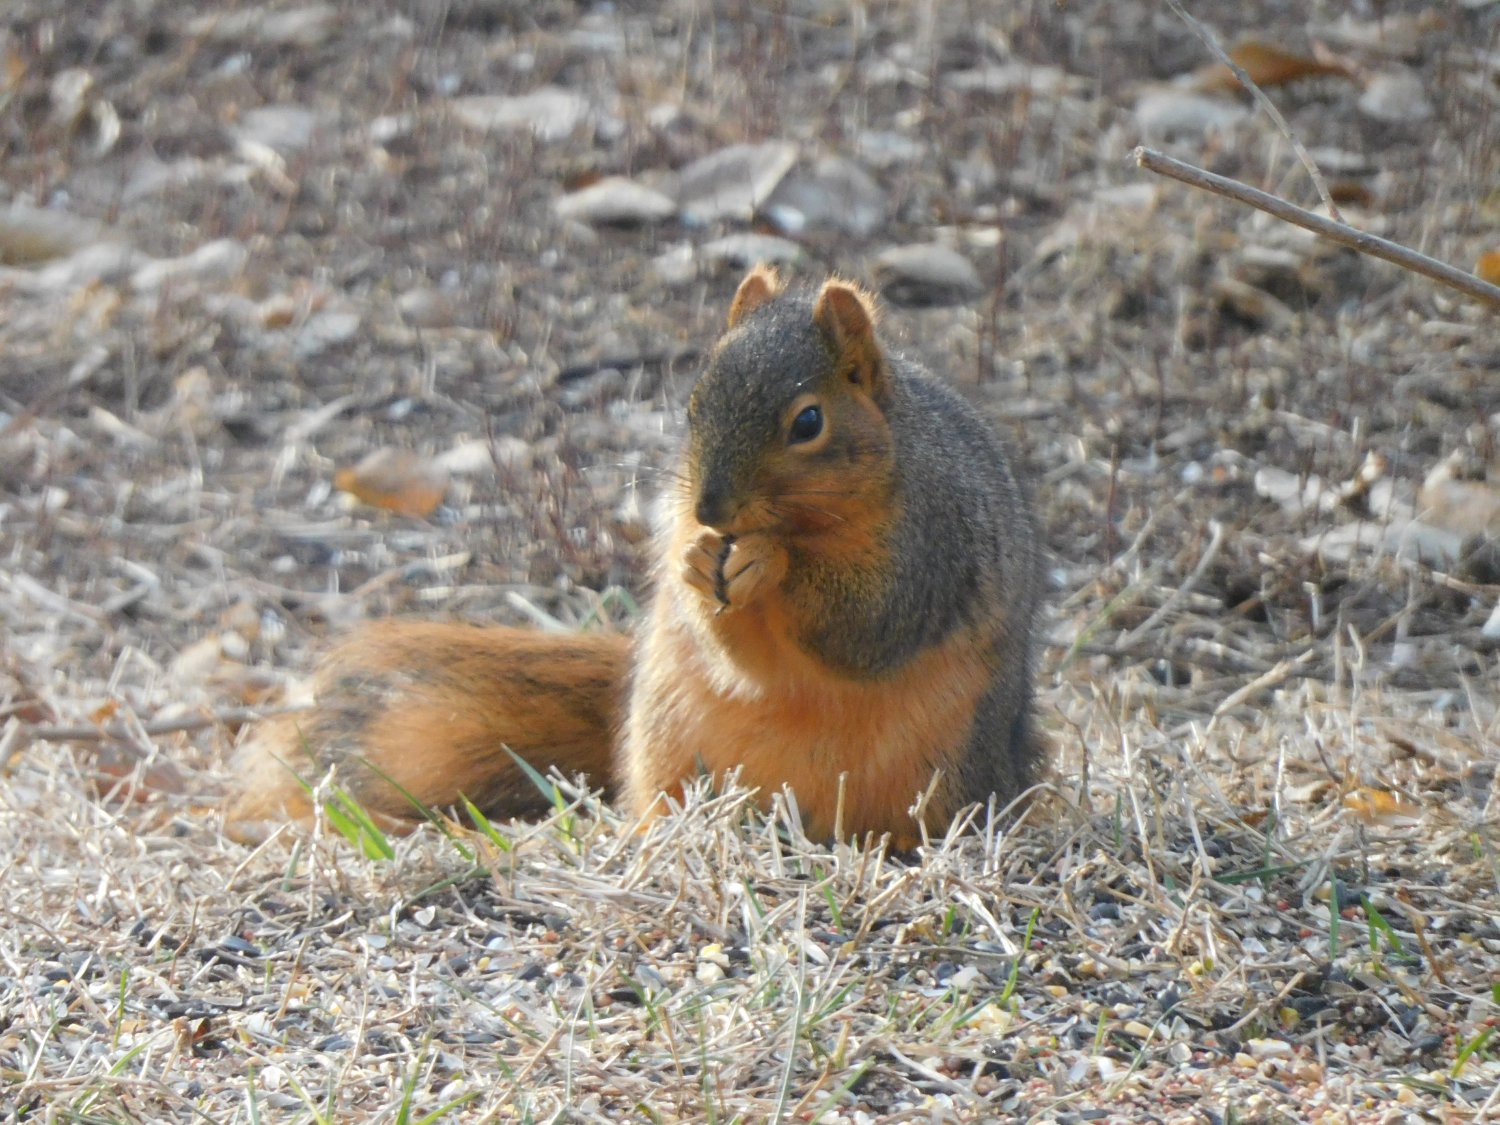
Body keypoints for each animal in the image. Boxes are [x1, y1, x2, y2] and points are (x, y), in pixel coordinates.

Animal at [228, 266, 1043, 848]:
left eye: (808, 422)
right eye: (692, 405)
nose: (712, 511)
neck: (799, 524)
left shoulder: (932, 546)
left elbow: (867, 624)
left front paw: (769, 566)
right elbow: (736, 651)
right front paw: (693, 565)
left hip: (944, 769)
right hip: (667, 743)